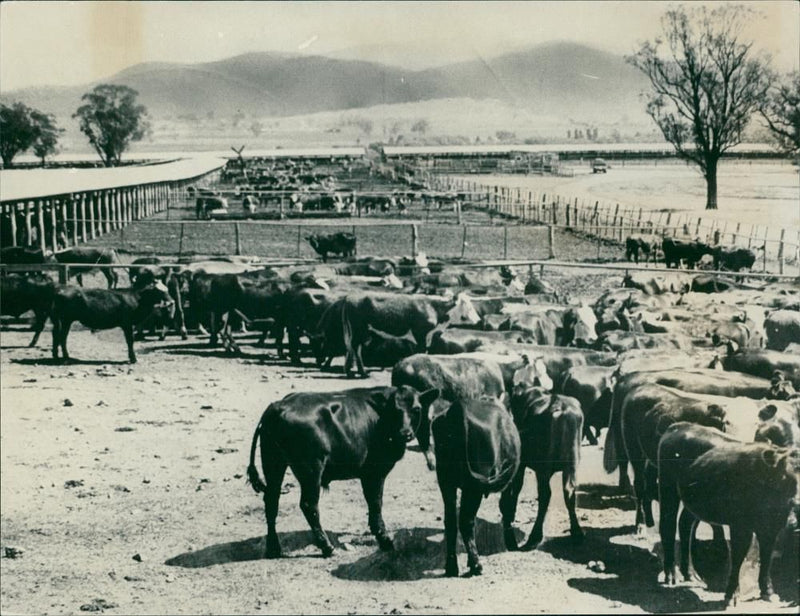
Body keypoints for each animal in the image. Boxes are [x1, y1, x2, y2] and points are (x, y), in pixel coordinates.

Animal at [248, 384, 440, 560]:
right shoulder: (376, 471)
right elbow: (376, 502)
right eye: (396, 410)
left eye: (416, 409)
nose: (405, 433)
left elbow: (371, 501)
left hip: (273, 461)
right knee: (309, 505)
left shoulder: (367, 474)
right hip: (311, 469)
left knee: (271, 501)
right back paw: (327, 547)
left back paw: (273, 548)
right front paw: (384, 539)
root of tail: (278, 406)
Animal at [428, 400, 520, 576]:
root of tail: (457, 409)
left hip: (445, 481)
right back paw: (476, 565)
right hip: (472, 488)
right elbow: (507, 505)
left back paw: (452, 567)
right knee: (466, 520)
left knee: (451, 521)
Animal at [496, 388, 584, 552]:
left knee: (545, 495)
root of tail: (561, 408)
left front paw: (509, 511)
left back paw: (534, 536)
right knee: (569, 491)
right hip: (571, 463)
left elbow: (517, 486)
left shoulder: (522, 463)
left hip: (544, 468)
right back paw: (577, 533)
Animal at [656, 424, 800, 608]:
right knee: (667, 525)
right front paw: (731, 595)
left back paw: (691, 574)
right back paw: (671, 575)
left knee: (685, 525)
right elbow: (738, 557)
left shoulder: (772, 527)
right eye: (785, 477)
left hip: (696, 500)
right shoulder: (740, 526)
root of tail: (680, 425)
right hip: (667, 486)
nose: (797, 503)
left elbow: (767, 556)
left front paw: (768, 592)